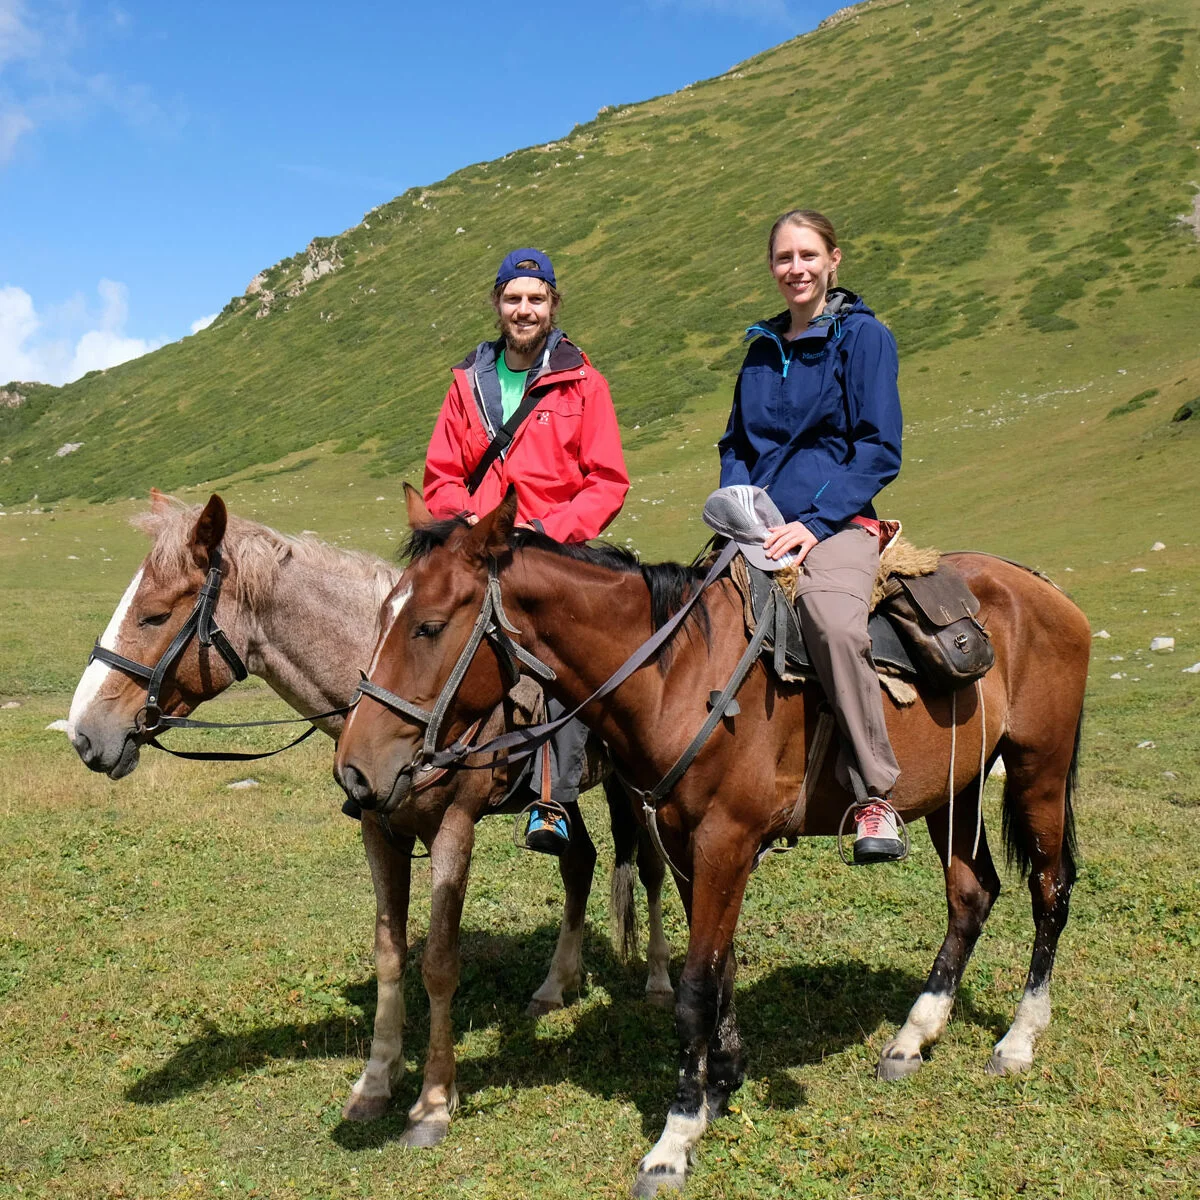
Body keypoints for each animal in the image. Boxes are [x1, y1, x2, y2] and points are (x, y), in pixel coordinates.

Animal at [68, 494, 676, 1142]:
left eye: (154, 616)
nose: (83, 734)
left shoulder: (454, 829)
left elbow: (438, 962)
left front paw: (433, 1100)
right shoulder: (378, 831)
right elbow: (390, 953)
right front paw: (376, 1082)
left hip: (639, 785)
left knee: (651, 870)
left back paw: (659, 981)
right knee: (580, 862)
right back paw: (556, 984)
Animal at [333, 489, 1094, 1200]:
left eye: (429, 626)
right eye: (381, 618)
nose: (355, 771)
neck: (676, 675)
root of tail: (1042, 589)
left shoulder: (726, 842)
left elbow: (697, 987)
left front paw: (674, 1137)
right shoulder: (683, 842)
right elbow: (719, 970)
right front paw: (720, 1081)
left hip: (1038, 769)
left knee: (1049, 892)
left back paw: (1019, 1038)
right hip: (954, 792)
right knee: (971, 895)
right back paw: (914, 1035)